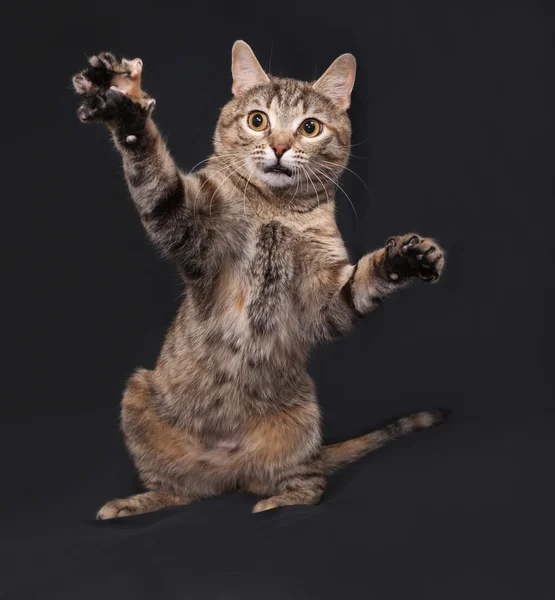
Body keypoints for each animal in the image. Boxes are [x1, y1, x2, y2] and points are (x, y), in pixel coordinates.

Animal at [71, 41, 450, 520]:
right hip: (138, 395)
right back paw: (136, 503)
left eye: (310, 127)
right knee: (181, 490)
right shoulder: (190, 228)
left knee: (309, 483)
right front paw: (126, 105)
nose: (280, 146)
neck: (276, 210)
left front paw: (405, 257)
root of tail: (227, 466)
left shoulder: (323, 298)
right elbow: (157, 178)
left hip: (303, 423)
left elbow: (361, 283)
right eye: (257, 120)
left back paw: (279, 500)